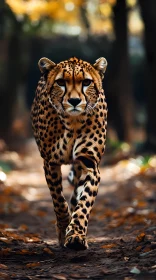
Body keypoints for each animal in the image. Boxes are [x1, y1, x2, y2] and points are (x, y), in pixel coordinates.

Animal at [31, 55, 108, 250]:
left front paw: (76, 235)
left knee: (76, 196)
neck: (72, 122)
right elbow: (58, 199)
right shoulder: (50, 162)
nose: (74, 101)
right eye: (61, 82)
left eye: (86, 82)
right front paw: (64, 226)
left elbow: (84, 202)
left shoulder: (89, 164)